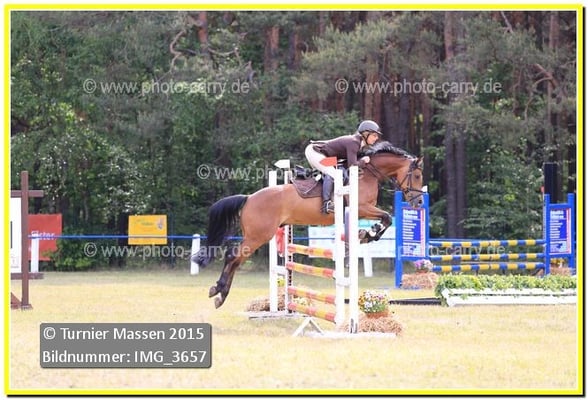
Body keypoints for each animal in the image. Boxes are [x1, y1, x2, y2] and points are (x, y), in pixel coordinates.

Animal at [195, 141, 425, 308]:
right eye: (417, 175)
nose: (419, 203)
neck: (367, 174)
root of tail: (249, 198)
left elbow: (386, 218)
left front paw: (367, 234)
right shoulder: (361, 206)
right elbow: (387, 217)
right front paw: (369, 233)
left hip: (255, 235)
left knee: (235, 259)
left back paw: (220, 294)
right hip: (258, 235)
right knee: (233, 256)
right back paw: (218, 291)